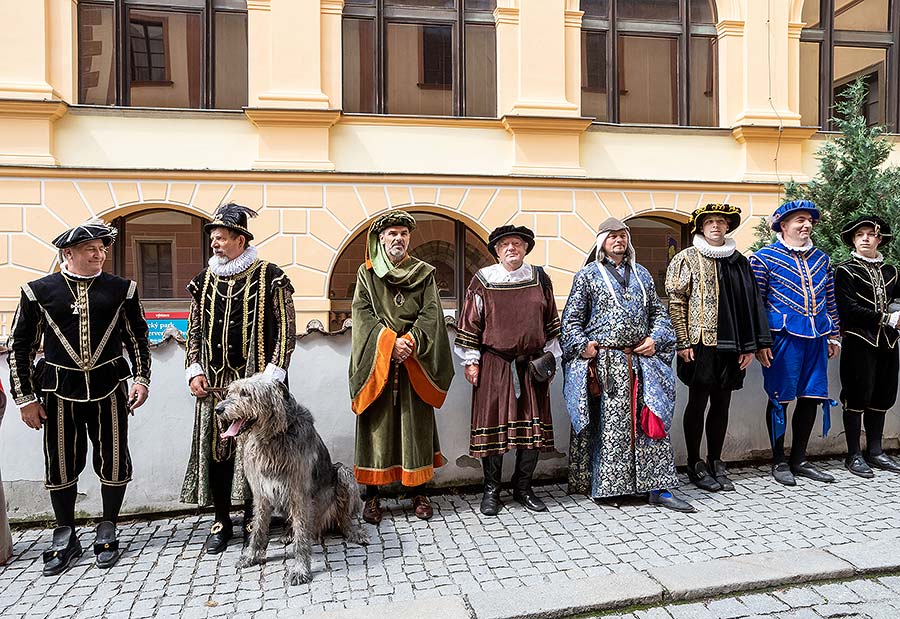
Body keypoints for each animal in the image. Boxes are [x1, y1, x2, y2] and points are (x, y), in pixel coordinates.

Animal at [215, 372, 370, 588]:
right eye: (230, 391)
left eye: (246, 393)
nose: (218, 409)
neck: (272, 437)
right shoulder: (262, 493)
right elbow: (258, 527)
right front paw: (251, 556)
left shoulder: (299, 494)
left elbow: (301, 536)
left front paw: (300, 569)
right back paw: (288, 532)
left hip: (343, 474)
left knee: (343, 518)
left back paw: (353, 532)